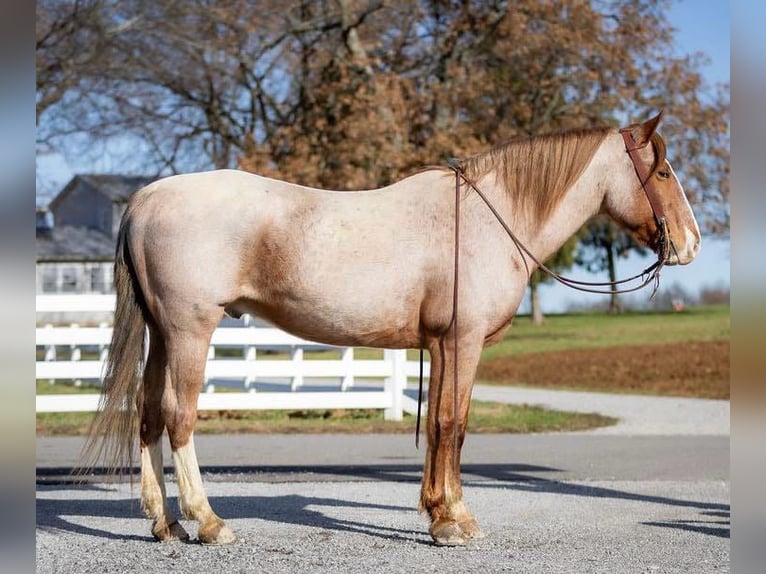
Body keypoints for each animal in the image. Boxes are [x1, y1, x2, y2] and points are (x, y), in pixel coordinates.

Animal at [82, 112, 704, 548]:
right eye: (663, 171)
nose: (690, 242)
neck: (487, 218)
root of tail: (146, 197)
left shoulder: (442, 346)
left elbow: (441, 426)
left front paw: (439, 512)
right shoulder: (463, 342)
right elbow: (453, 424)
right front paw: (455, 522)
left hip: (162, 334)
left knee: (148, 416)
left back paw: (166, 526)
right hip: (190, 331)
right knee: (179, 418)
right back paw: (209, 523)